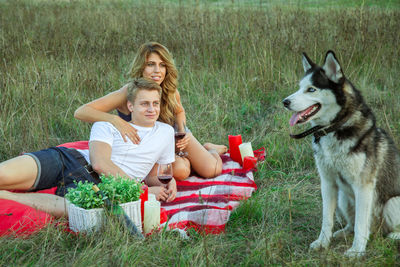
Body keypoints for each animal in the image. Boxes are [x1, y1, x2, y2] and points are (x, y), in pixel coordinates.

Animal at [282, 50, 400, 258]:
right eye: (299, 87)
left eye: (311, 89)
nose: (285, 102)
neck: (333, 129)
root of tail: (379, 231)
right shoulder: (327, 183)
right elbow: (327, 219)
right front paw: (323, 242)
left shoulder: (363, 187)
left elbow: (361, 223)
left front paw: (357, 250)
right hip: (344, 198)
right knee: (352, 224)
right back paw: (342, 233)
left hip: (393, 203)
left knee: (375, 227)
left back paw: (392, 235)